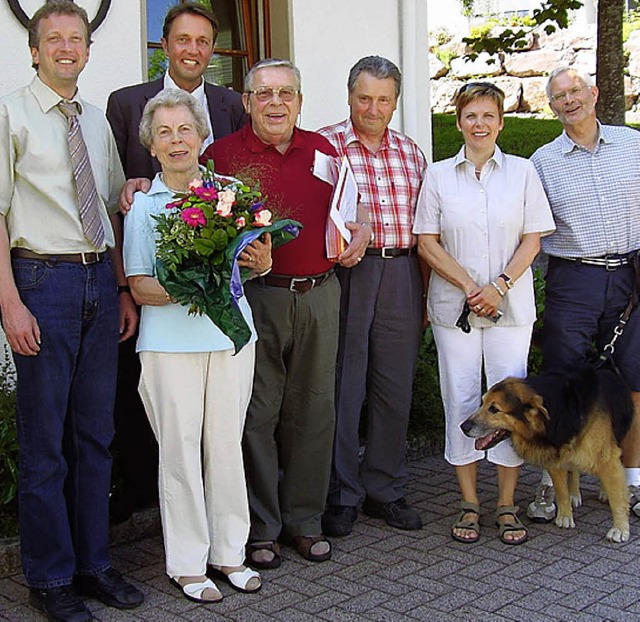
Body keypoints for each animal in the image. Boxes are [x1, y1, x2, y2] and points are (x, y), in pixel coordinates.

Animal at [460, 366, 636, 544]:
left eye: (494, 409)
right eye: (482, 403)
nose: (463, 426)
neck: (558, 411)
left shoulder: (607, 458)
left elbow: (617, 498)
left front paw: (620, 529)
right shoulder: (554, 456)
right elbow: (561, 490)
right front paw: (565, 516)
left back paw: (604, 492)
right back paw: (574, 493)